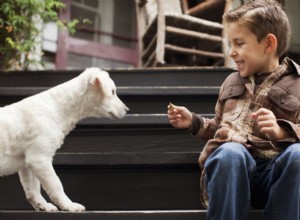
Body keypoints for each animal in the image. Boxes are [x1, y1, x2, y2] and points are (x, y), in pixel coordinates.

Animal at [0, 67, 127, 211]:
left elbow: (33, 190)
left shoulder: (28, 160)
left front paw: (44, 206)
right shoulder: (40, 158)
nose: (127, 110)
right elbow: (56, 185)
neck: (57, 109)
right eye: (112, 92)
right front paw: (69, 205)